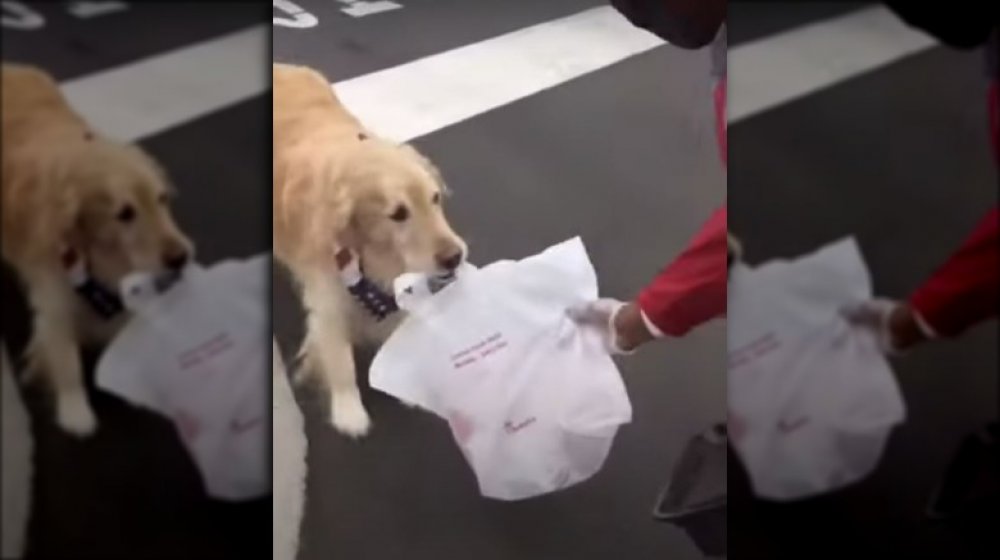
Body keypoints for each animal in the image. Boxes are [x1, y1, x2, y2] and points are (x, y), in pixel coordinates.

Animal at [1, 62, 191, 438]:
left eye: (162, 199)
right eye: (125, 213)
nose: (181, 258)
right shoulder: (53, 296)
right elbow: (65, 358)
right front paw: (75, 411)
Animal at [270, 62, 464, 438]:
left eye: (434, 198)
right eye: (398, 214)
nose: (455, 257)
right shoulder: (327, 297)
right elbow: (339, 359)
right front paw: (349, 412)